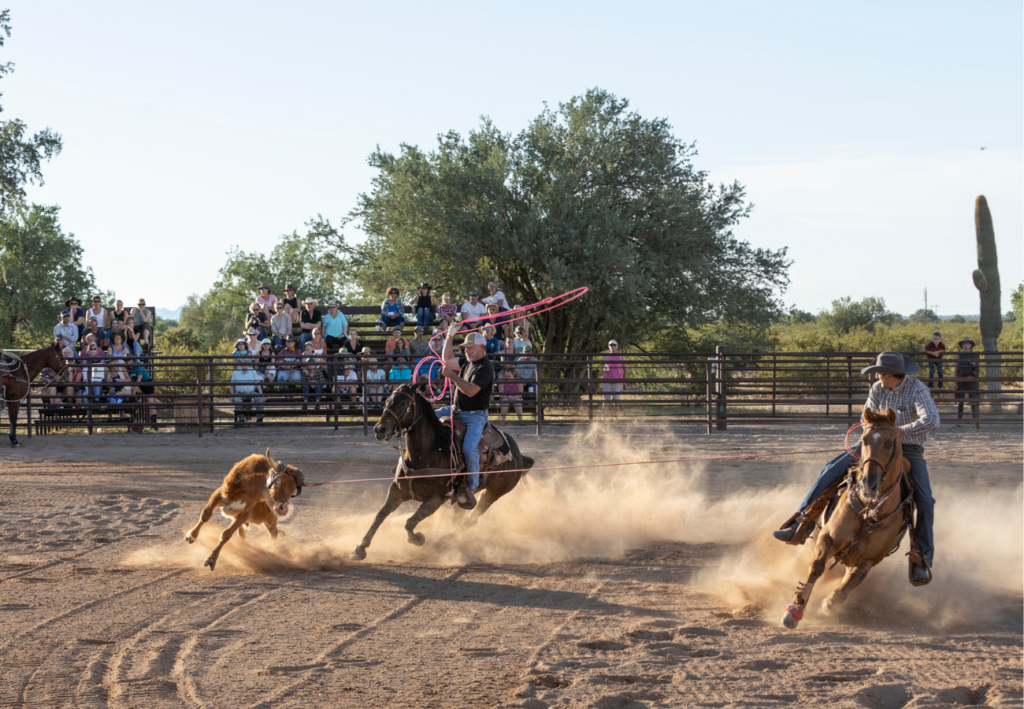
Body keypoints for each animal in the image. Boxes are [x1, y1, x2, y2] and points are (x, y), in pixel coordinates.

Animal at [348, 383, 532, 561]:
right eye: (386, 401)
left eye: (403, 404)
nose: (379, 429)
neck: (429, 451)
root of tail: (518, 454)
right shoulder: (397, 490)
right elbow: (380, 515)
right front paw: (360, 548)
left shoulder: (436, 499)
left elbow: (409, 522)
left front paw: (418, 539)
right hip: (461, 498)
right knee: (460, 519)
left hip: (493, 493)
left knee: (471, 520)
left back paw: (441, 542)